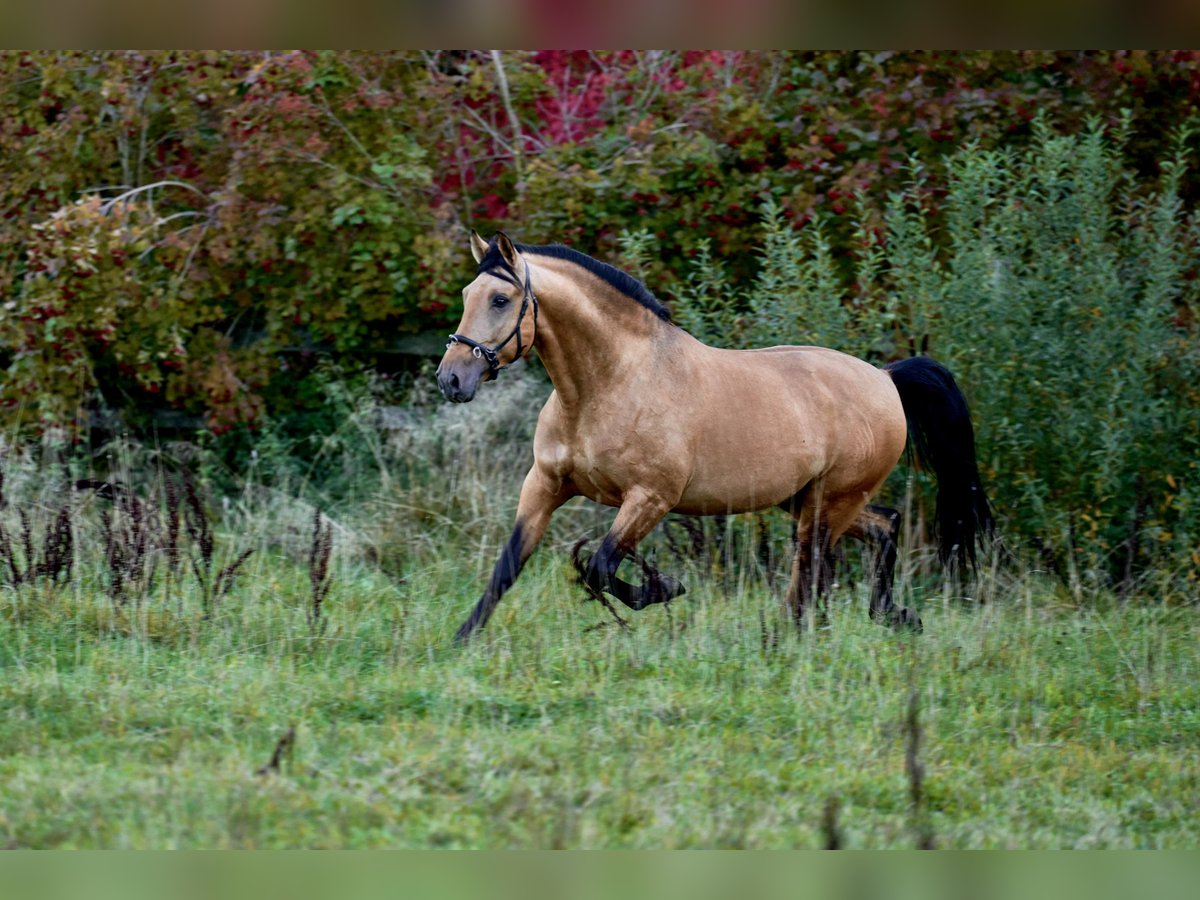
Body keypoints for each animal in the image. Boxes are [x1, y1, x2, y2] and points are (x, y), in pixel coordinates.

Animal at [436, 230, 988, 643]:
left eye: (501, 299)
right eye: (466, 296)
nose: (452, 379)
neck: (608, 385)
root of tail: (886, 378)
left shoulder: (650, 498)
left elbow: (599, 566)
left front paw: (665, 588)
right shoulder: (545, 486)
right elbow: (508, 567)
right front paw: (461, 641)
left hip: (830, 502)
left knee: (812, 571)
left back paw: (792, 638)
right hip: (806, 499)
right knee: (879, 530)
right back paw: (890, 617)